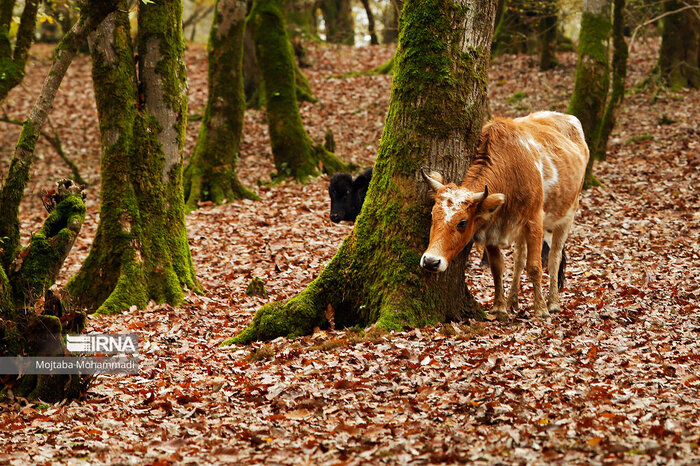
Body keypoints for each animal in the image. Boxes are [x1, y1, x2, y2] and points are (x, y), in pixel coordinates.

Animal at [424, 111, 588, 318]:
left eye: (462, 222)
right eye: (432, 216)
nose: (430, 261)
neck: (511, 169)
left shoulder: (534, 222)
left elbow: (534, 266)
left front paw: (541, 309)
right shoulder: (492, 229)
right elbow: (498, 267)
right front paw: (499, 307)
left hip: (567, 216)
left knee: (554, 257)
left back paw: (553, 303)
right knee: (519, 259)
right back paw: (513, 301)